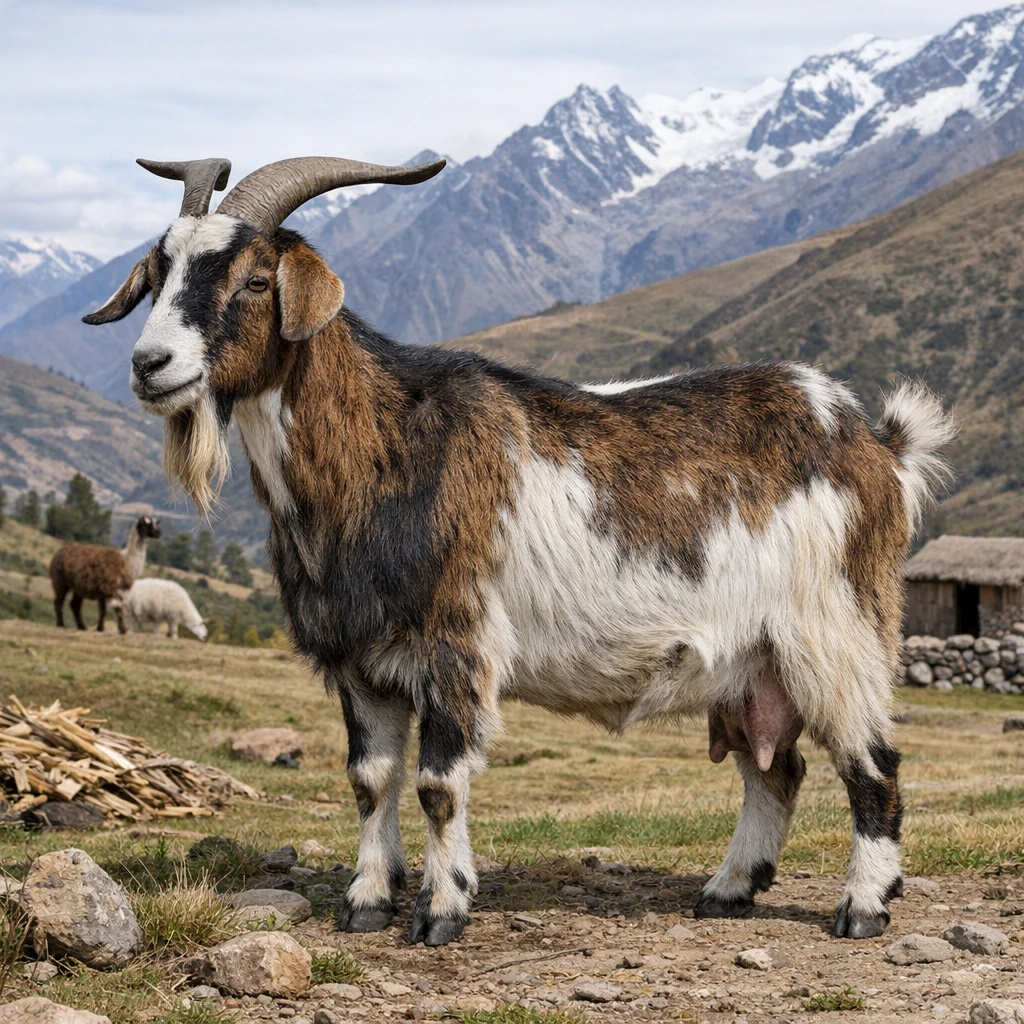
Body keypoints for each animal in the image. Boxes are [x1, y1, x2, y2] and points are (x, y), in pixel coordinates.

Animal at [84, 155, 955, 946]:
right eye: (157, 273)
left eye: (257, 281)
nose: (149, 365)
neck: (385, 449)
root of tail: (876, 440)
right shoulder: (359, 660)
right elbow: (370, 781)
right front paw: (366, 902)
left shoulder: (454, 648)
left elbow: (438, 785)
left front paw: (441, 910)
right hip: (752, 666)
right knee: (775, 770)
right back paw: (728, 889)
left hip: (834, 633)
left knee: (873, 766)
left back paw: (863, 908)